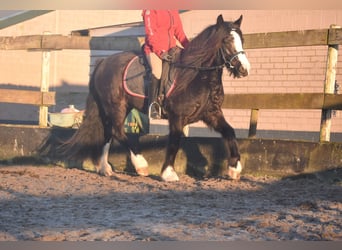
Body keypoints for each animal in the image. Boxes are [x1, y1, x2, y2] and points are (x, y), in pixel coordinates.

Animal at [60, 14, 250, 182]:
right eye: (226, 40)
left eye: (242, 39)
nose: (244, 69)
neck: (197, 76)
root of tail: (102, 63)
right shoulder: (177, 117)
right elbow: (174, 142)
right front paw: (168, 174)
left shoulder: (212, 113)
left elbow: (230, 132)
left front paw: (234, 169)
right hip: (116, 106)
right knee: (117, 131)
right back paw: (140, 165)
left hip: (120, 107)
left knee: (109, 132)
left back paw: (104, 168)